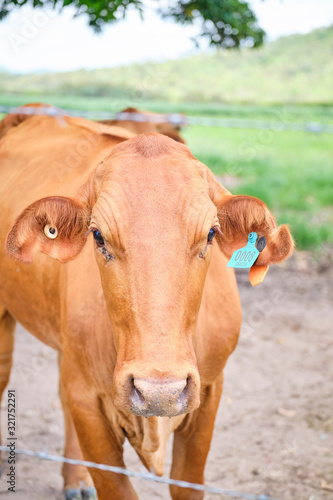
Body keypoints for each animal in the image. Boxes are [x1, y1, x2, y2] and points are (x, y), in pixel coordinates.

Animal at [0, 106, 292, 500]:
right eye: (98, 236)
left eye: (210, 234)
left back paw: (75, 479)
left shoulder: (210, 392)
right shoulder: (88, 402)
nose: (160, 392)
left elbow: (188, 482)